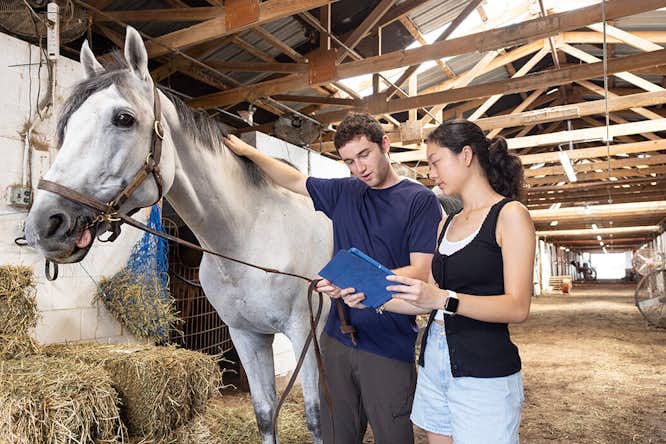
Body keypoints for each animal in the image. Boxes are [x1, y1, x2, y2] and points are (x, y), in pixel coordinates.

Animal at [24, 27, 332, 444]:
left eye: (124, 118)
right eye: (67, 126)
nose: (44, 225)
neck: (249, 236)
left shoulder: (304, 334)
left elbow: (316, 418)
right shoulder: (247, 335)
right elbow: (266, 414)